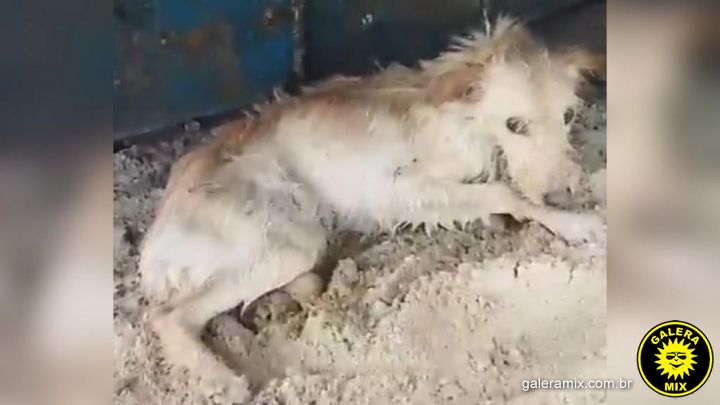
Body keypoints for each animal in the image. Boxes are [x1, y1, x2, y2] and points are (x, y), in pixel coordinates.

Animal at [138, 17, 605, 402]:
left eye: (568, 116)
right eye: (515, 124)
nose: (564, 194)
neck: (462, 121)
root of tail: (155, 242)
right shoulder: (397, 188)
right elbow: (503, 193)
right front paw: (572, 222)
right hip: (290, 241)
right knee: (168, 315)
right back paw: (223, 378)